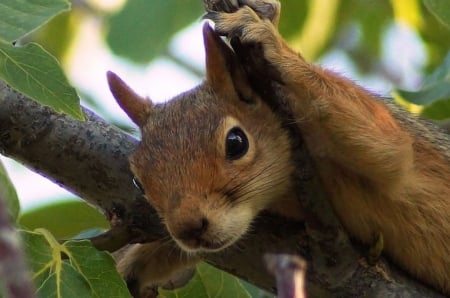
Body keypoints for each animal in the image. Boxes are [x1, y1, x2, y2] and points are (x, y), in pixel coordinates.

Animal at [108, 0, 450, 296]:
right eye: (138, 180)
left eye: (236, 143)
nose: (188, 227)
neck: (287, 196)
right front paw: (132, 263)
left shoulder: (382, 140)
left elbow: (388, 146)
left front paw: (267, 36)